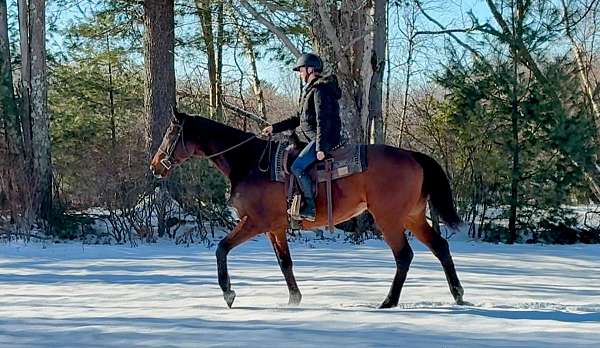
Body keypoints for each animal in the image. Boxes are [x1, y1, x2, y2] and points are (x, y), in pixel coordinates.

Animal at [149, 107, 464, 308]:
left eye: (170, 134)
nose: (154, 166)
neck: (248, 162)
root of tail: (412, 155)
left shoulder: (254, 222)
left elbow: (221, 248)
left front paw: (228, 293)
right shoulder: (275, 228)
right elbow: (284, 262)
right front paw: (294, 299)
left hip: (389, 219)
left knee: (404, 256)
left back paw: (389, 301)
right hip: (412, 216)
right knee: (440, 248)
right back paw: (458, 294)